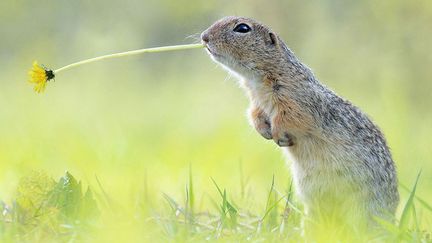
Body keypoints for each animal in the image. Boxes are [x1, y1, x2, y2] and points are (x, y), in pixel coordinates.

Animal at [201, 16, 400, 228]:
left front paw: (278, 136)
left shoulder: (296, 99)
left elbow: (290, 117)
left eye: (242, 28)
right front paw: (264, 131)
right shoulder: (256, 103)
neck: (258, 81)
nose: (204, 37)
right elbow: (254, 115)